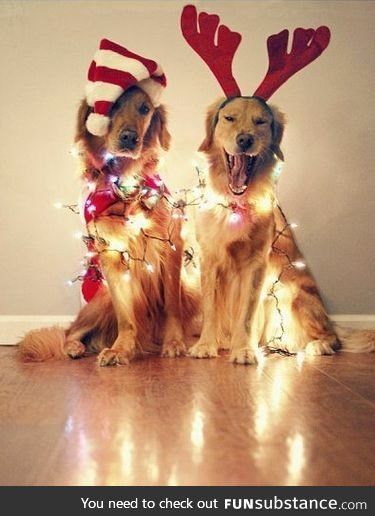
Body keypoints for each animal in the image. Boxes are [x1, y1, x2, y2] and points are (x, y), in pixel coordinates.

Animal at [181, 6, 374, 364]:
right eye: (229, 118)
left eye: (261, 121)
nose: (245, 140)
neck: (235, 204)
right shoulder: (209, 259)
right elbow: (211, 308)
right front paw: (206, 345)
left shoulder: (257, 266)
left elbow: (245, 313)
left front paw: (243, 350)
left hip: (292, 290)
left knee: (329, 338)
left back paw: (310, 346)